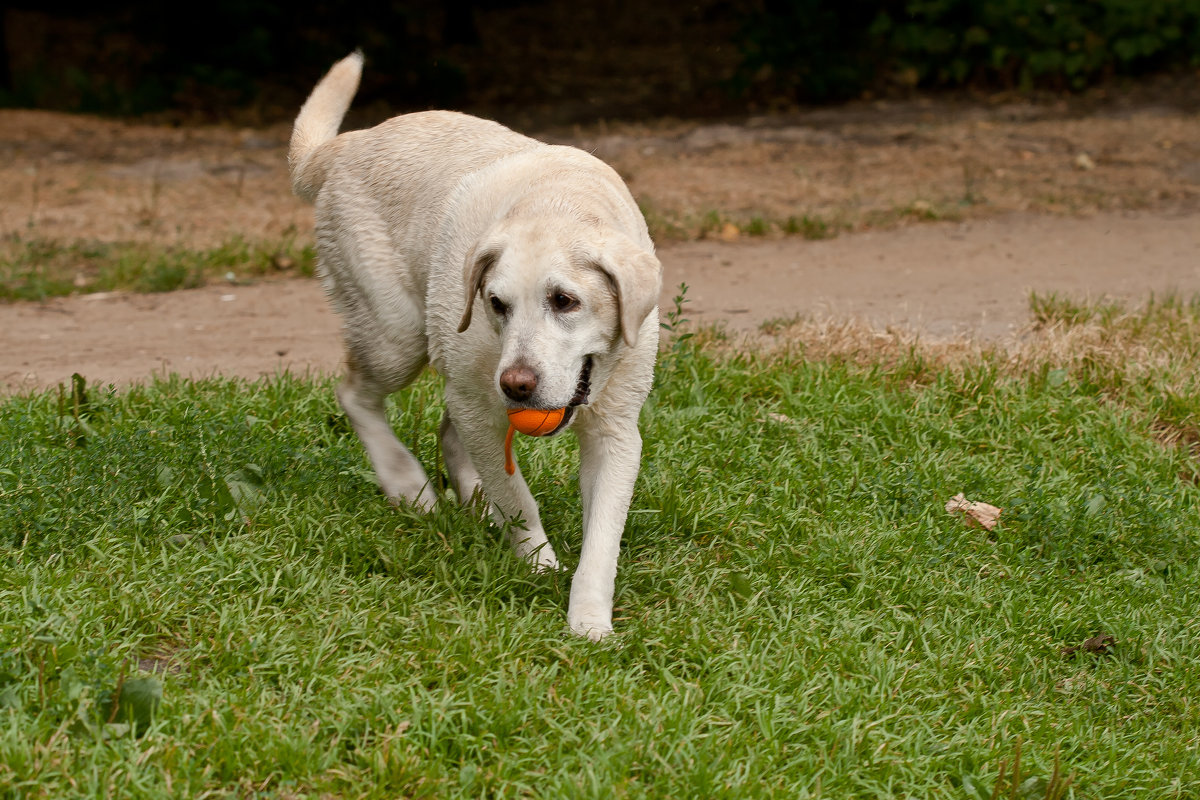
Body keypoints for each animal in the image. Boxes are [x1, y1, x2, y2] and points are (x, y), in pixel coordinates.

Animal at [290, 51, 667, 638]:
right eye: (496, 304)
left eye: (565, 300)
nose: (516, 385)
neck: (558, 203)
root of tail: (347, 144)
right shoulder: (479, 400)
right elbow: (519, 500)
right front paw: (538, 564)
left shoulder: (616, 433)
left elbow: (603, 538)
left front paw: (588, 621)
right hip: (399, 336)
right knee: (355, 394)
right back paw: (409, 486)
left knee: (446, 429)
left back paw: (470, 503)